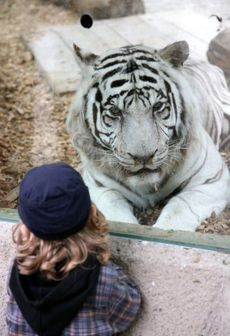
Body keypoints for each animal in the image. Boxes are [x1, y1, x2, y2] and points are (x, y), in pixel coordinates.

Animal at [66, 40, 230, 231]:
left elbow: (180, 207)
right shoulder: (96, 185)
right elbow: (115, 209)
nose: (143, 157)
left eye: (157, 107)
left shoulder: (211, 178)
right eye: (115, 111)